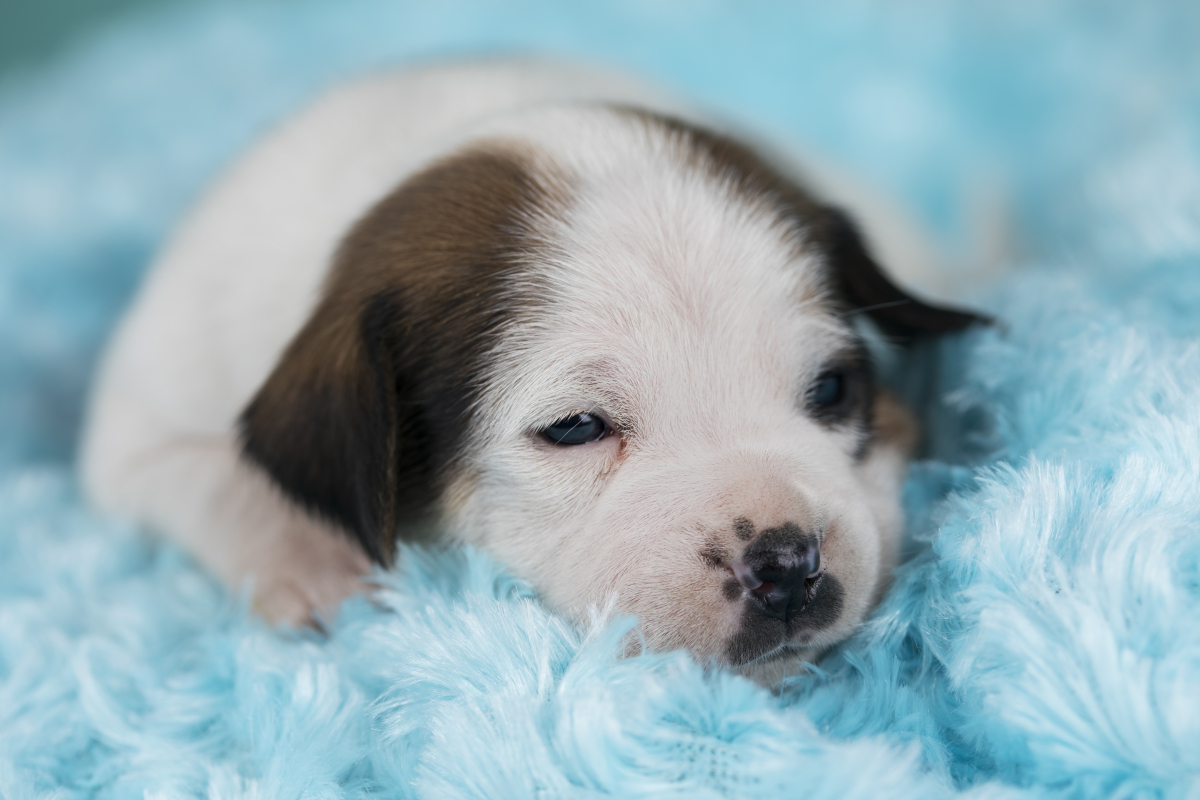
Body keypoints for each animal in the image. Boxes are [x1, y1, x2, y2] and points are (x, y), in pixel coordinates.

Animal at [77, 57, 984, 681]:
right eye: (575, 428)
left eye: (831, 389)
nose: (787, 563)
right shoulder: (137, 428)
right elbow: (219, 475)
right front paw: (314, 560)